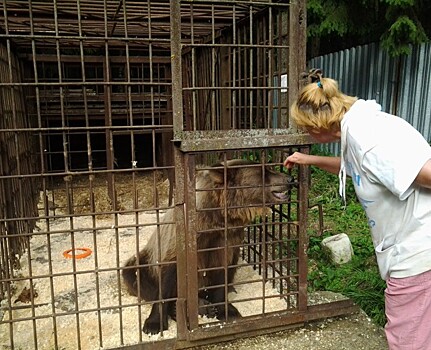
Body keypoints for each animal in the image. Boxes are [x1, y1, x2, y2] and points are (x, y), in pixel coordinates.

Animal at [121, 159, 294, 334]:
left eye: (269, 168)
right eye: (263, 172)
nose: (290, 179)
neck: (217, 218)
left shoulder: (227, 240)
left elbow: (222, 274)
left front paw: (226, 311)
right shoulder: (181, 242)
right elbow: (168, 277)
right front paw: (154, 324)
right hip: (145, 262)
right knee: (135, 274)